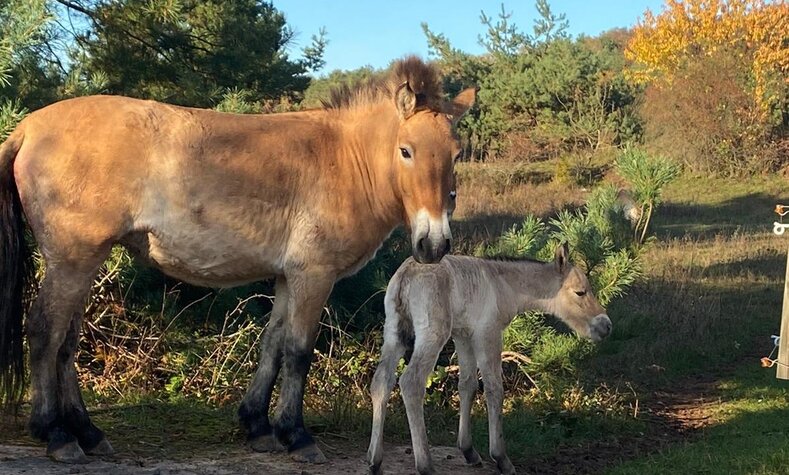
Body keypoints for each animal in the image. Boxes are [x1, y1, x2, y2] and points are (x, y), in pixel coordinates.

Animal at [0, 58, 474, 464]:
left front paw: (258, 426)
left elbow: (272, 344)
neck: (343, 159)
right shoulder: (314, 275)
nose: (434, 244)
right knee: (45, 331)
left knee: (67, 342)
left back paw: (88, 432)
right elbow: (299, 351)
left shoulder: (287, 276)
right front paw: (297, 435)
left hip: (84, 262)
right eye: (406, 151)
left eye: (456, 154)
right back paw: (55, 434)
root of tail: (27, 128)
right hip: (72, 260)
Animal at [366, 245, 612, 475]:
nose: (606, 326)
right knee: (411, 383)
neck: (502, 283)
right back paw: (425, 465)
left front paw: (468, 451)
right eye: (580, 292)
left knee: (381, 382)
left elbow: (467, 385)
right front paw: (501, 459)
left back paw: (374, 461)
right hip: (432, 336)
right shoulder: (488, 333)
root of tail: (406, 275)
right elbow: (494, 389)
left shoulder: (463, 335)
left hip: (395, 333)